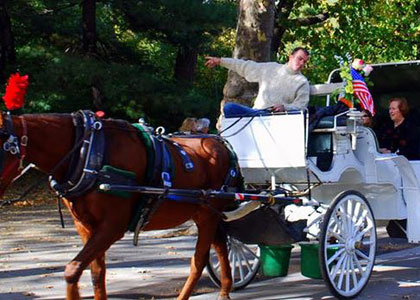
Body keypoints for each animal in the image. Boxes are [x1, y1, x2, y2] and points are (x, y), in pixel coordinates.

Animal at [0, 111, 236, 298]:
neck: (87, 151)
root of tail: (220, 143)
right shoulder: (85, 226)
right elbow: (96, 274)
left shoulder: (112, 226)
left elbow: (72, 269)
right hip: (205, 214)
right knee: (220, 245)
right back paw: (225, 290)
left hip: (208, 215)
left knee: (199, 260)